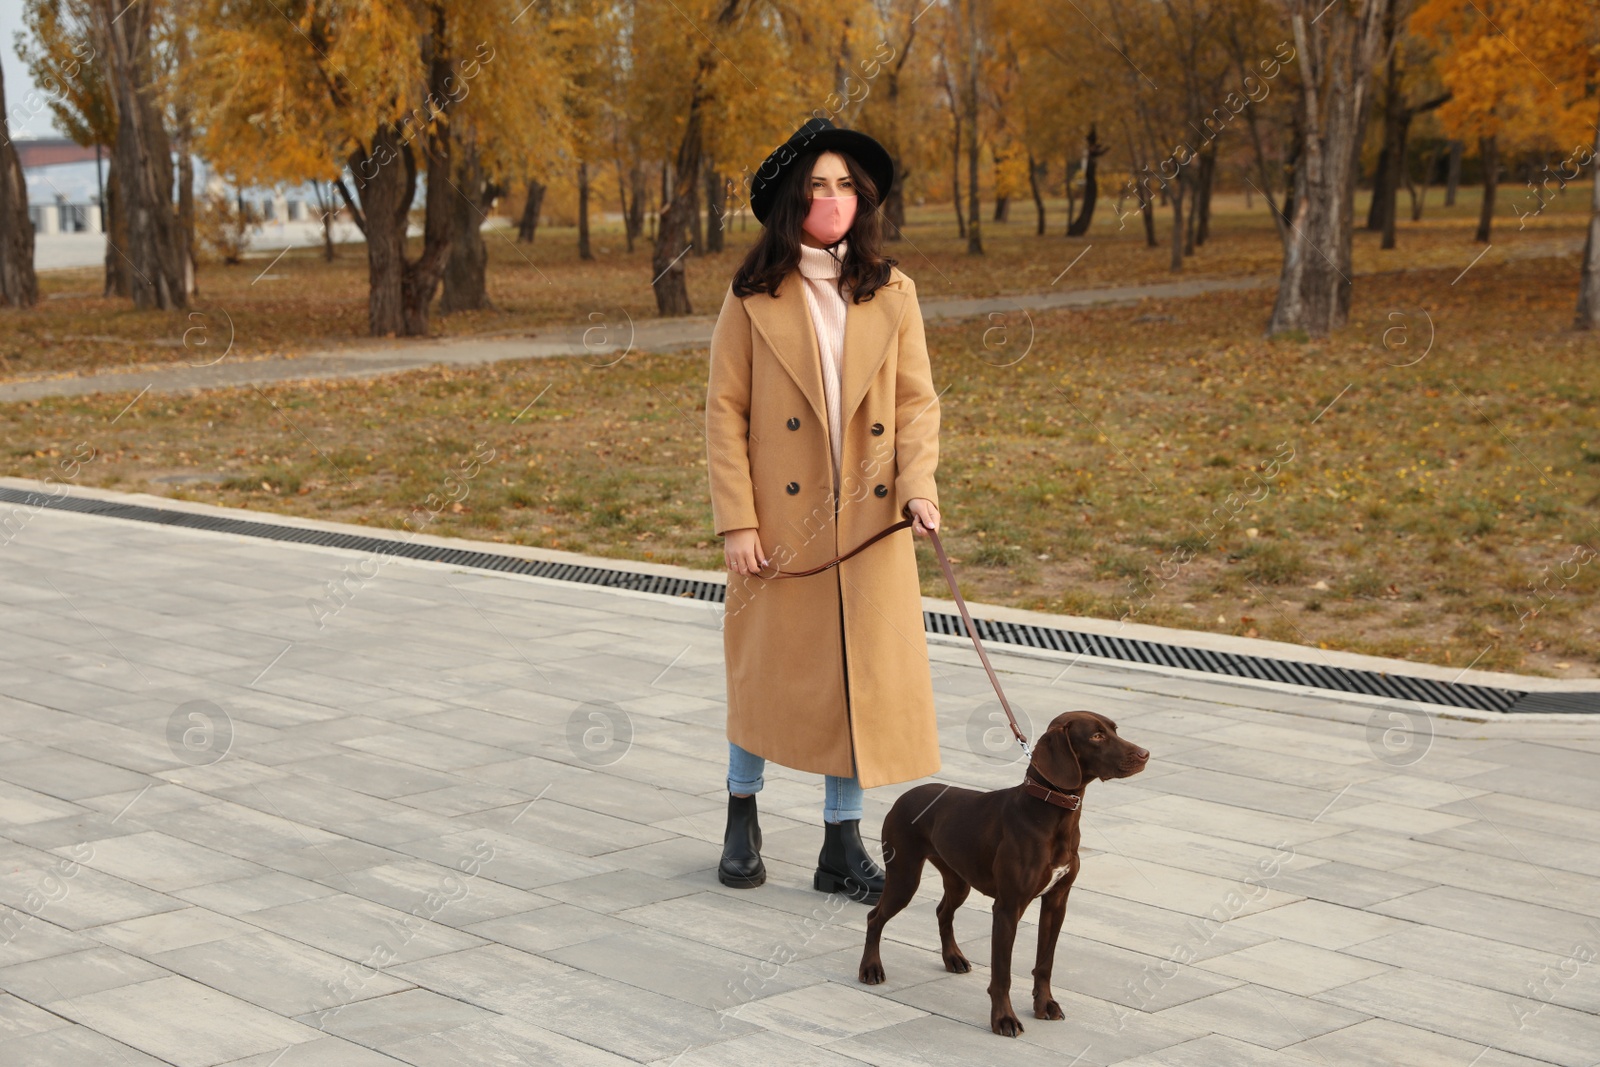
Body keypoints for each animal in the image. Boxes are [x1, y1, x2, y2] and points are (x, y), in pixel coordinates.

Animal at [864, 710, 1152, 1036]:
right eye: (1096, 736)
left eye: (1115, 730)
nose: (1145, 754)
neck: (1050, 815)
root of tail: (904, 796)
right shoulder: (1007, 907)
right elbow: (1002, 973)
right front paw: (1003, 1019)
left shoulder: (1056, 902)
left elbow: (1045, 963)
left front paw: (1044, 1005)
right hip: (904, 877)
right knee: (875, 917)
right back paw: (871, 969)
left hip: (958, 880)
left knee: (942, 912)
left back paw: (953, 958)